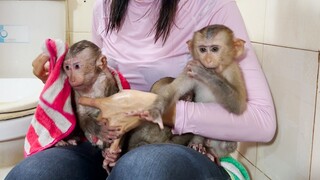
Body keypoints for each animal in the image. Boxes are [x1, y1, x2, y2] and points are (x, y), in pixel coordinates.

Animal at [138, 24, 248, 161]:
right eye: (202, 49)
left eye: (214, 49)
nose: (207, 59)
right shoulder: (188, 70)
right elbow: (173, 90)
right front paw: (155, 112)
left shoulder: (234, 70)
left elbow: (238, 105)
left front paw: (205, 72)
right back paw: (199, 145)